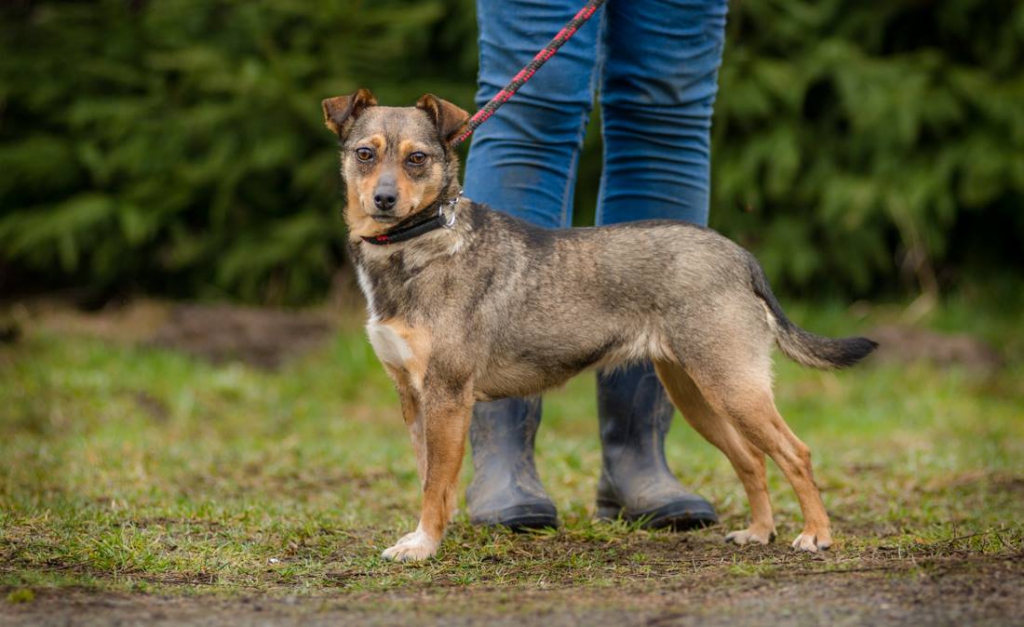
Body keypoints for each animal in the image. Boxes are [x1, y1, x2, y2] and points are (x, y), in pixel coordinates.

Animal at [322, 89, 877, 562]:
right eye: (365, 154)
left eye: (417, 158)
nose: (384, 200)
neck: (418, 243)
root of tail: (740, 256)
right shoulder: (413, 397)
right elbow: (428, 480)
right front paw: (426, 536)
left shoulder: (447, 395)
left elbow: (436, 483)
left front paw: (425, 545)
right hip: (698, 394)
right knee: (752, 459)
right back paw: (761, 532)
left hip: (734, 386)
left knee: (795, 453)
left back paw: (816, 534)